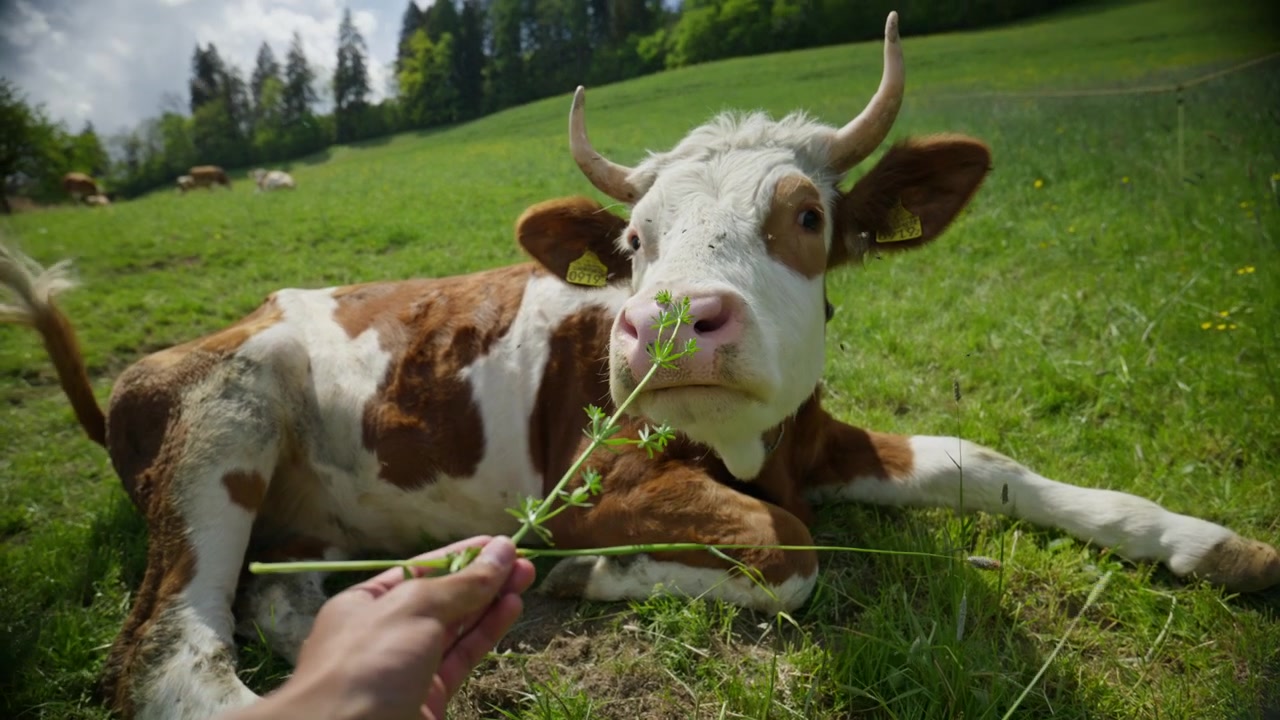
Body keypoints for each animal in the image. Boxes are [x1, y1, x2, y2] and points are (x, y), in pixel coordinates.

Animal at [1, 13, 1276, 720]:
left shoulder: (821, 433)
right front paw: (593, 575)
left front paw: (1205, 543)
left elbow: (985, 460)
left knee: (273, 591)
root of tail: (169, 356)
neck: (761, 449)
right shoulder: (598, 483)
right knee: (169, 653)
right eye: (631, 244)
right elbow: (784, 549)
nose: (667, 324)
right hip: (229, 415)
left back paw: (395, 585)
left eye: (806, 216)